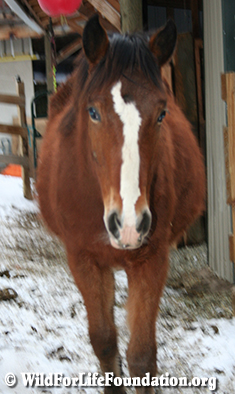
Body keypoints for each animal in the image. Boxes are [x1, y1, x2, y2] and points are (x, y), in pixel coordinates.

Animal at [36, 15, 204, 394]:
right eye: (93, 112)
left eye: (162, 113)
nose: (128, 224)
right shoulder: (83, 260)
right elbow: (104, 343)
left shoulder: (151, 260)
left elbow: (141, 356)